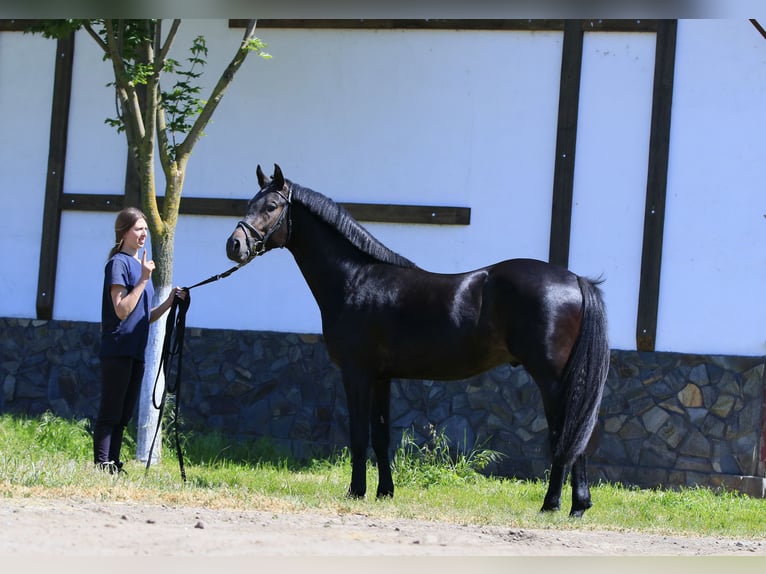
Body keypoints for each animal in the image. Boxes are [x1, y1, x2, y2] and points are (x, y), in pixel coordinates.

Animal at [226, 165, 612, 516]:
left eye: (272, 206)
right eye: (249, 203)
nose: (234, 245)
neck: (356, 279)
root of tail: (576, 280)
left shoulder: (356, 373)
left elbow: (358, 434)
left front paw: (355, 492)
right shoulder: (381, 377)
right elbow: (381, 436)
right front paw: (384, 492)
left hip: (552, 379)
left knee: (566, 432)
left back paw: (552, 504)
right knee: (578, 433)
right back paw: (578, 506)